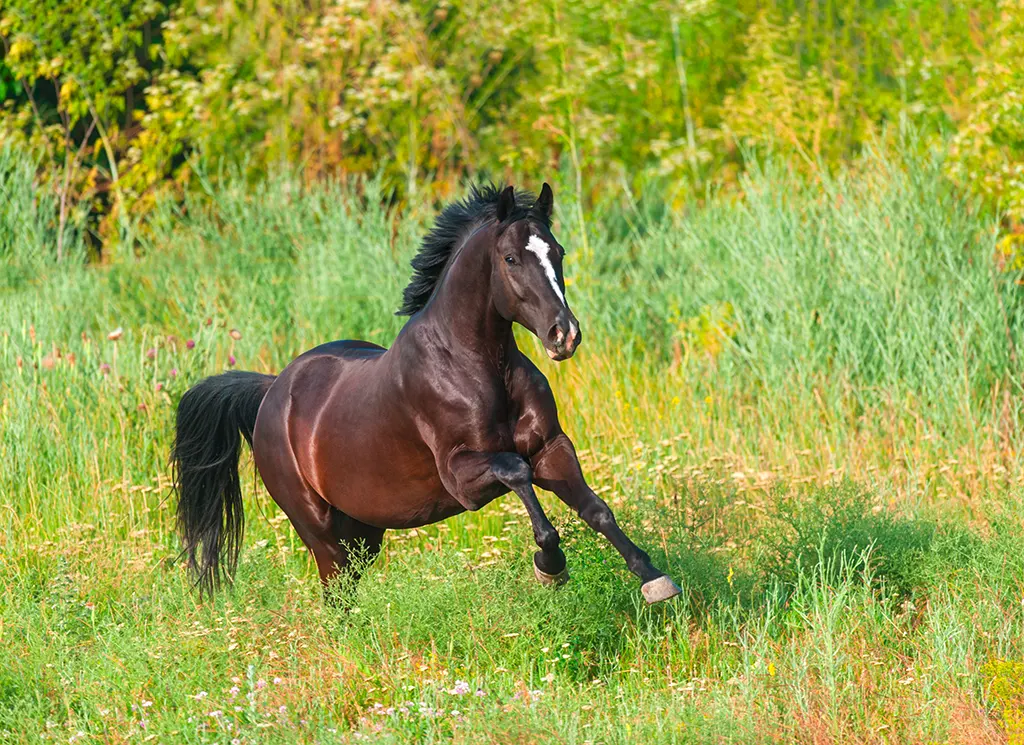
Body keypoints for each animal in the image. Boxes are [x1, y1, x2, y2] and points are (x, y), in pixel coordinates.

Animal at [171, 183, 682, 605]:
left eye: (557, 251)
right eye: (511, 259)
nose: (565, 335)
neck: (478, 366)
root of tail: (272, 391)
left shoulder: (551, 448)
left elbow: (597, 509)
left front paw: (654, 579)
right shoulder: (462, 476)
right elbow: (516, 471)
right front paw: (550, 567)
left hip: (363, 532)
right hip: (320, 531)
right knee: (335, 593)